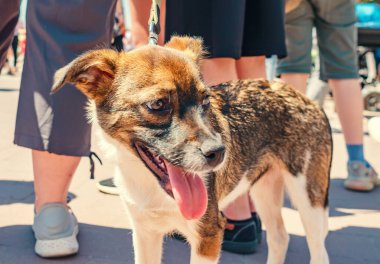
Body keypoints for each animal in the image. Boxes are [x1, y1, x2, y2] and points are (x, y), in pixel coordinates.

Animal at [52, 36, 332, 262]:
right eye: (158, 104)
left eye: (205, 100)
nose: (219, 152)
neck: (150, 184)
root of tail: (307, 99)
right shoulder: (144, 232)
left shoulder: (208, 235)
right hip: (264, 187)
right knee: (280, 237)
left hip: (310, 198)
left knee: (319, 252)